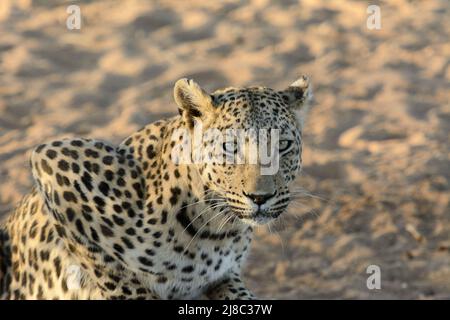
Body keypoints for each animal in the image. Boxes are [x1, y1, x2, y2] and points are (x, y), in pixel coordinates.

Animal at [0, 76, 312, 298]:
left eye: (283, 145)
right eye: (230, 147)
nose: (260, 197)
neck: (215, 228)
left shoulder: (225, 275)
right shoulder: (53, 160)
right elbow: (114, 274)